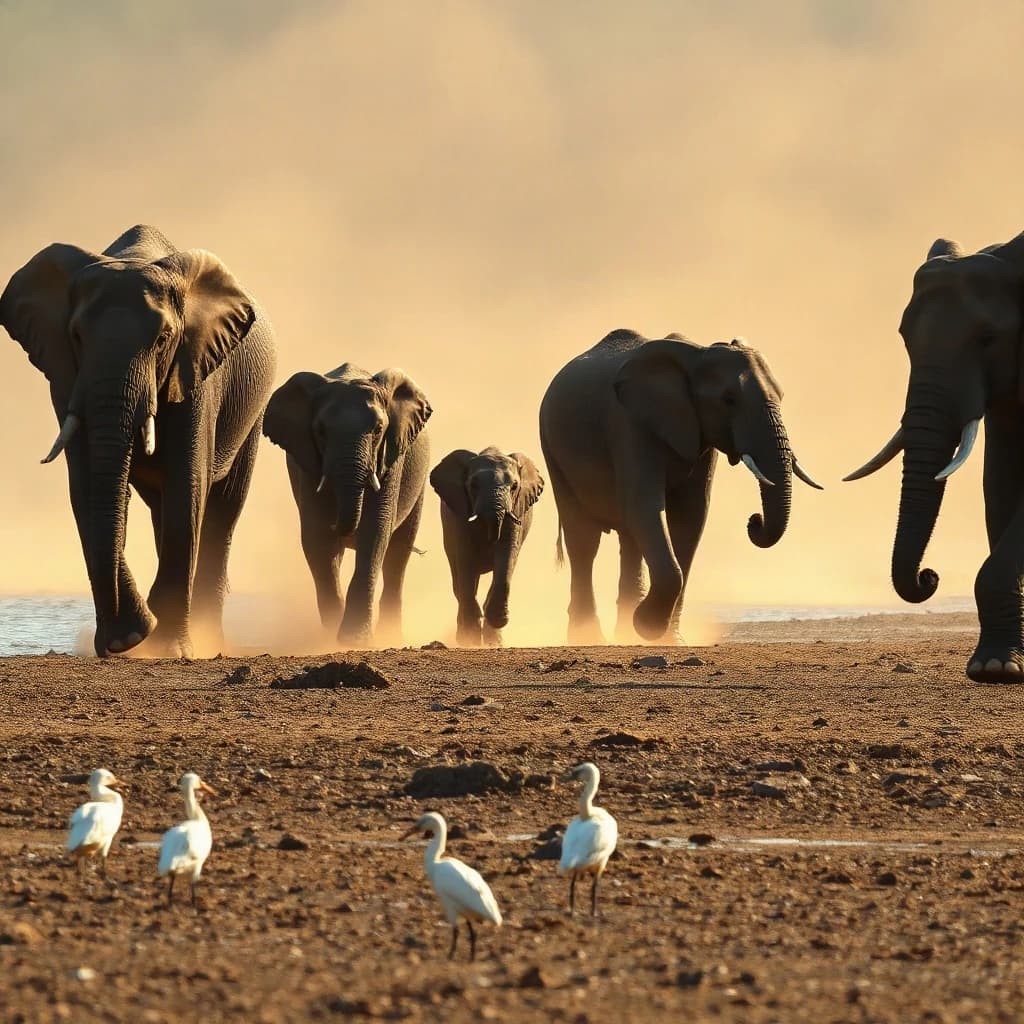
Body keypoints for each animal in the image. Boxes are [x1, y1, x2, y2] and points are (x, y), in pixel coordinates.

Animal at [0, 224, 276, 658]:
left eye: (163, 339)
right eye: (77, 336)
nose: (122, 638)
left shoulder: (196, 371)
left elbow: (187, 486)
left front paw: (166, 648)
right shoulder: (66, 378)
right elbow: (87, 485)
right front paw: (128, 639)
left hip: (252, 412)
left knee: (222, 512)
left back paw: (207, 638)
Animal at [262, 363, 431, 646]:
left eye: (378, 429)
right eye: (320, 430)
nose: (341, 527)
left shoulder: (390, 458)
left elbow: (375, 531)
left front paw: (354, 640)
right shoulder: (306, 463)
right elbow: (316, 538)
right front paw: (331, 637)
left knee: (398, 554)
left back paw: (392, 636)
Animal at [430, 446, 544, 646]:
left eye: (514, 486)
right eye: (473, 485)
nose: (491, 539)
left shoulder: (516, 511)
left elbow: (506, 555)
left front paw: (497, 620)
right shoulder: (460, 514)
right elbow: (466, 559)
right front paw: (470, 639)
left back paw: (493, 641)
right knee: (459, 580)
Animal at [539, 328, 821, 644]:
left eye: (782, 396)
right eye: (729, 400)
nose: (754, 521)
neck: (697, 355)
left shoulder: (702, 435)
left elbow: (691, 515)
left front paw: (667, 638)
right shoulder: (628, 423)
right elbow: (646, 505)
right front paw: (647, 627)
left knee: (630, 538)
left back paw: (624, 633)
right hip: (552, 448)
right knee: (584, 542)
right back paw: (591, 638)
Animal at [845, 232, 1024, 684]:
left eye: (988, 338)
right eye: (904, 337)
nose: (929, 576)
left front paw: (995, 669)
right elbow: (999, 486)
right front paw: (996, 664)